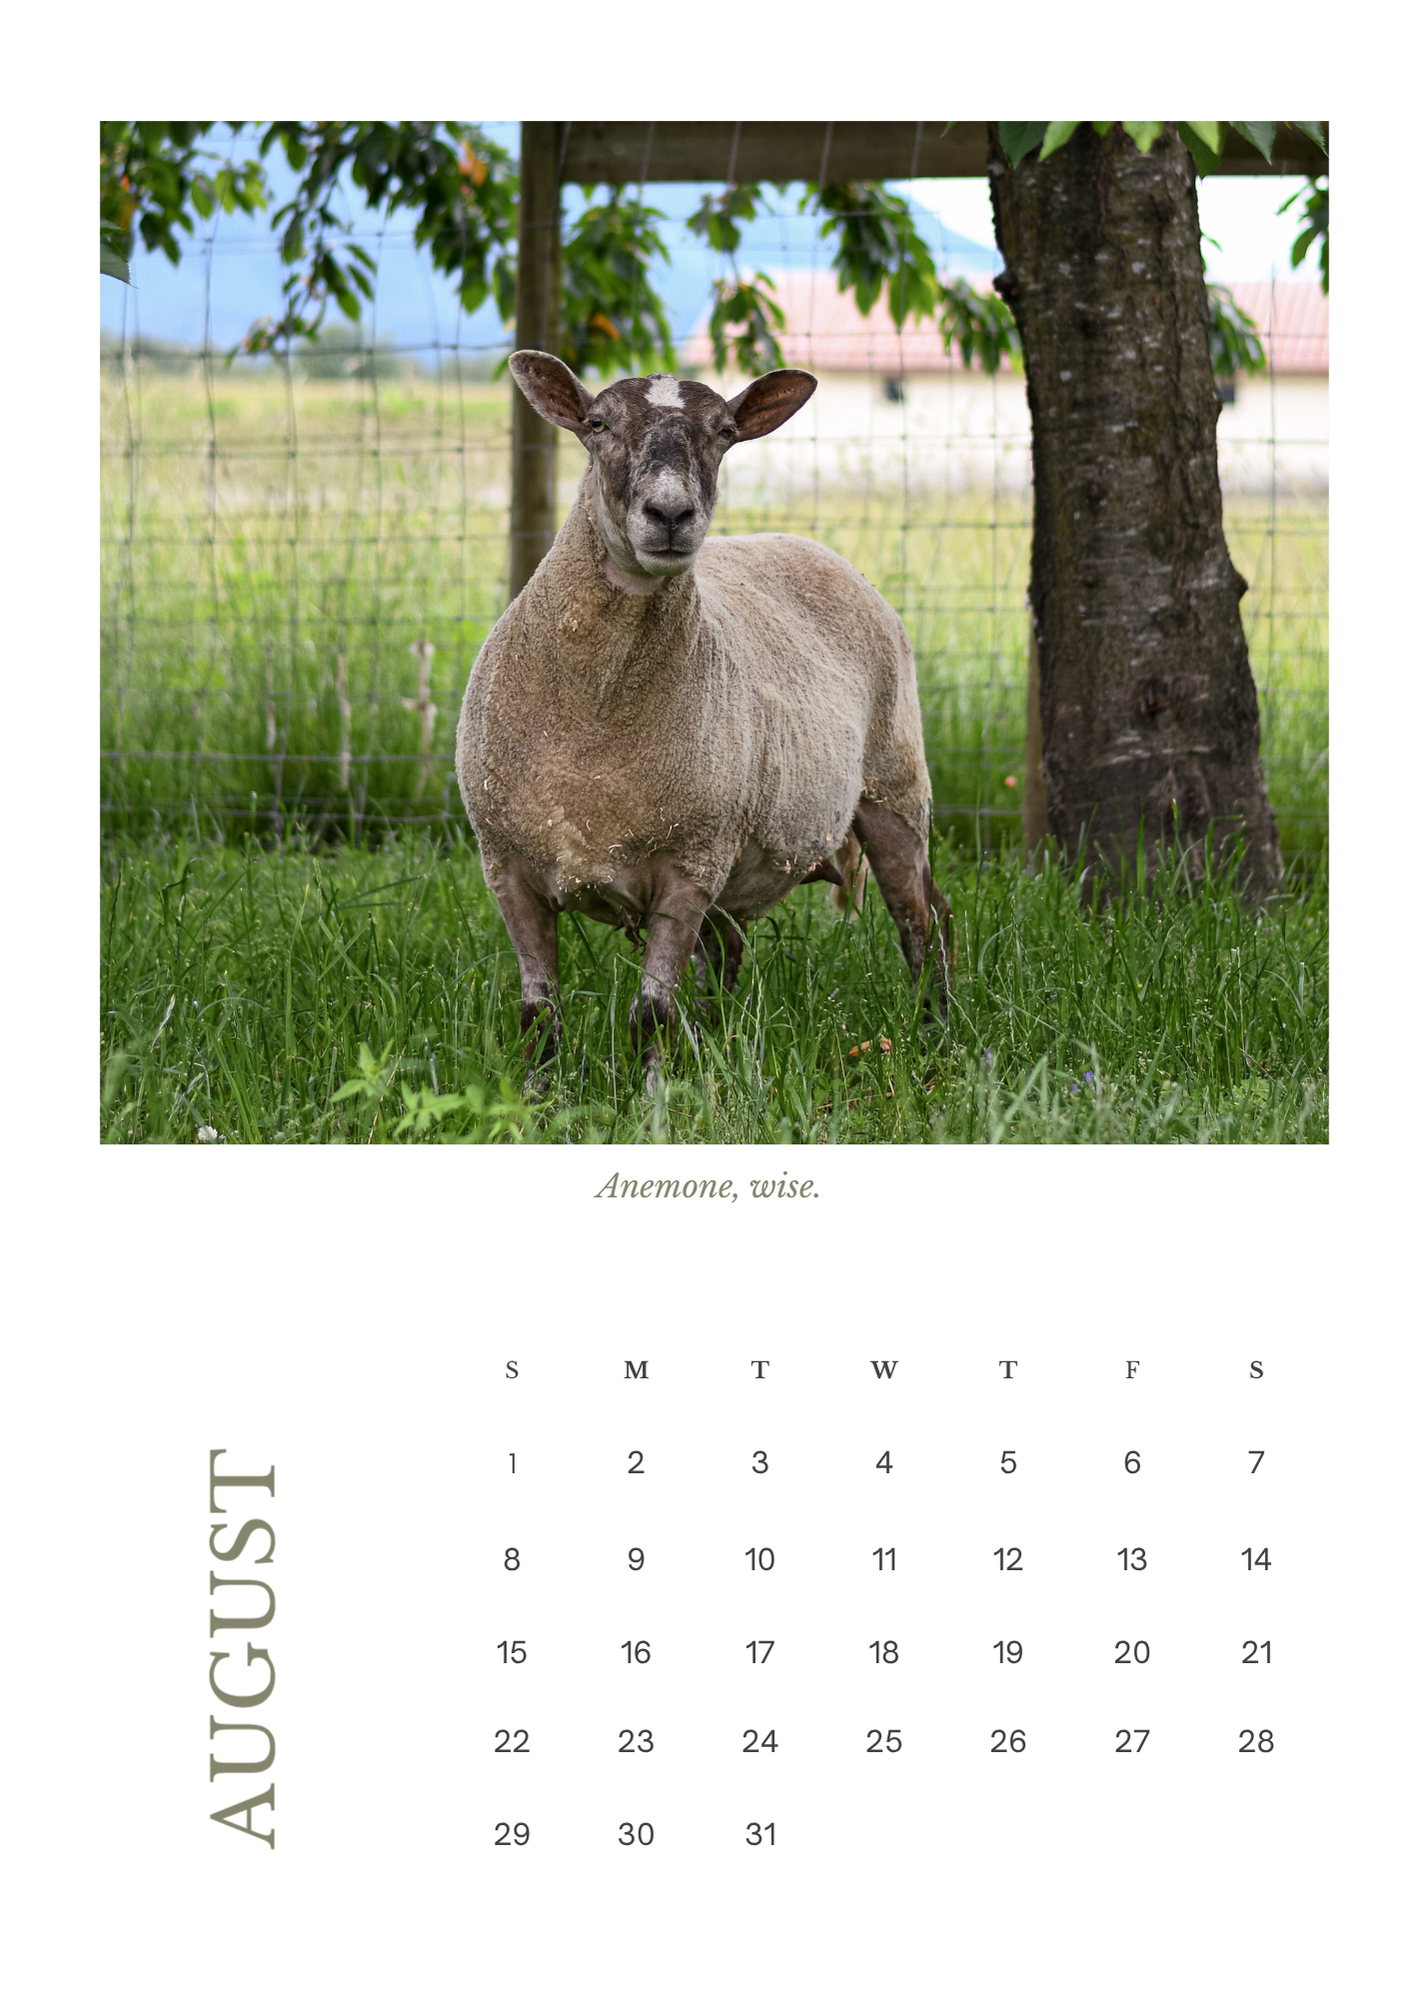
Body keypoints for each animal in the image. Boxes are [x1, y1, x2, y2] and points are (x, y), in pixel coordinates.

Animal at [455, 350, 954, 1092]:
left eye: (724, 432)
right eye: (597, 423)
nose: (670, 513)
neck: (595, 724)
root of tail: (809, 546)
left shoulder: (688, 865)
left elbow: (651, 1014)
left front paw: (653, 1101)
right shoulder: (508, 868)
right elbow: (538, 1015)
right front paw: (535, 1100)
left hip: (893, 786)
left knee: (923, 921)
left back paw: (936, 1036)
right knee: (729, 953)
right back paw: (721, 1038)